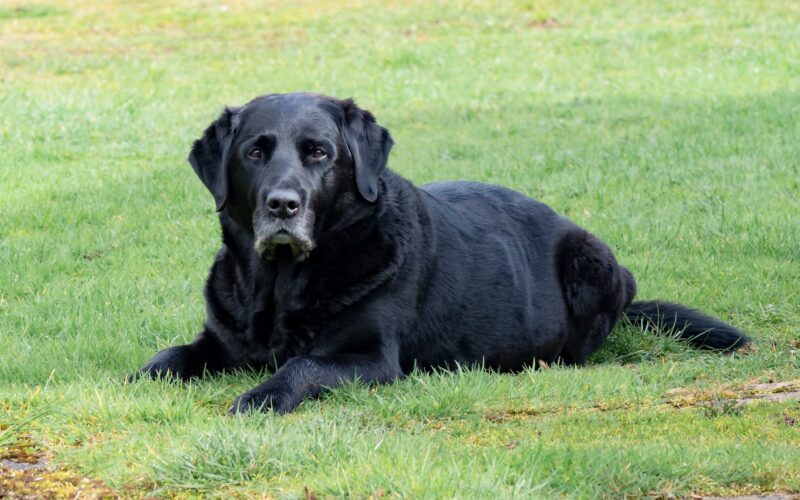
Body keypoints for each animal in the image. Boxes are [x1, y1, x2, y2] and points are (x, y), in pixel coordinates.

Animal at [131, 94, 752, 414]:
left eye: (319, 153)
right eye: (256, 152)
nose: (283, 204)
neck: (280, 283)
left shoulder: (370, 359)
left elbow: (300, 366)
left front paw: (260, 397)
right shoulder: (220, 340)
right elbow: (169, 355)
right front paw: (142, 376)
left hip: (594, 261)